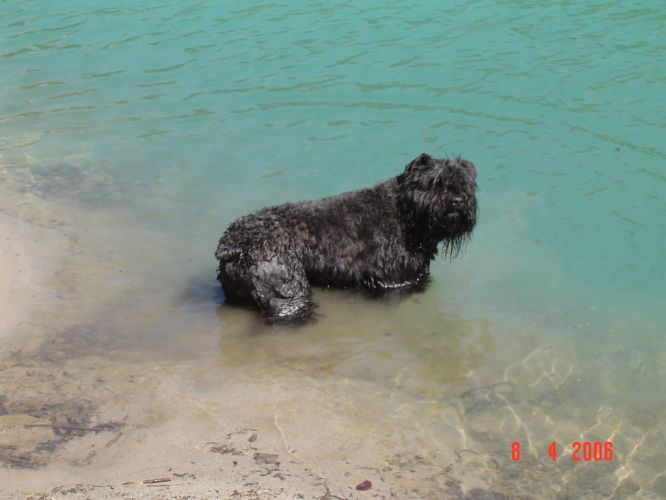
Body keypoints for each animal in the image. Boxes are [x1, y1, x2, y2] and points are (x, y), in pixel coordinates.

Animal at [218, 154, 478, 322]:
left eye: (464, 183)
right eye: (436, 182)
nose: (457, 201)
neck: (405, 216)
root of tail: (232, 246)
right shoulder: (394, 281)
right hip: (288, 291)